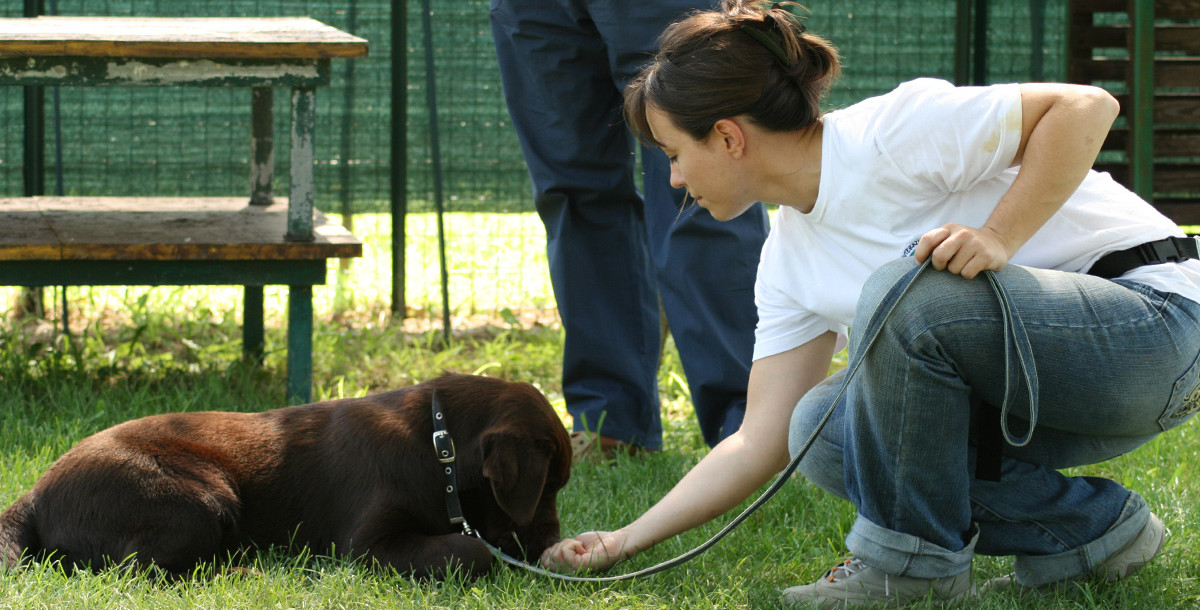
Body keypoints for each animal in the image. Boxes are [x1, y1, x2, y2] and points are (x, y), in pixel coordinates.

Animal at [0, 374, 571, 578]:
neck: (438, 443)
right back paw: (244, 571)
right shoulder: (366, 545)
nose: (552, 542)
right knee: (135, 570)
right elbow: (473, 550)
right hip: (199, 498)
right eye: (549, 486)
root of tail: (34, 493)